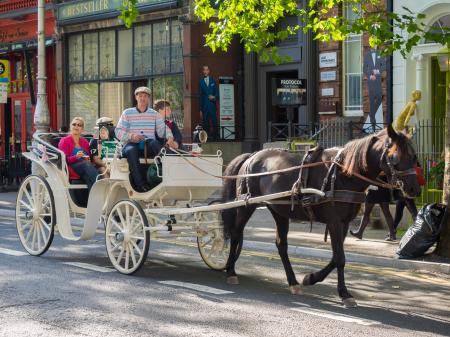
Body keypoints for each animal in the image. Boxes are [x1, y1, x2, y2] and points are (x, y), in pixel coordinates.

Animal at [223, 124, 420, 306]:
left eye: (413, 156)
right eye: (394, 157)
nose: (414, 189)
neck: (343, 174)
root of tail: (252, 156)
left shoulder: (344, 222)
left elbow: (336, 257)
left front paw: (312, 278)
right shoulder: (334, 222)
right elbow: (339, 258)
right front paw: (343, 292)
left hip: (279, 210)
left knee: (281, 245)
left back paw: (293, 282)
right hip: (247, 205)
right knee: (236, 234)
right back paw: (230, 271)